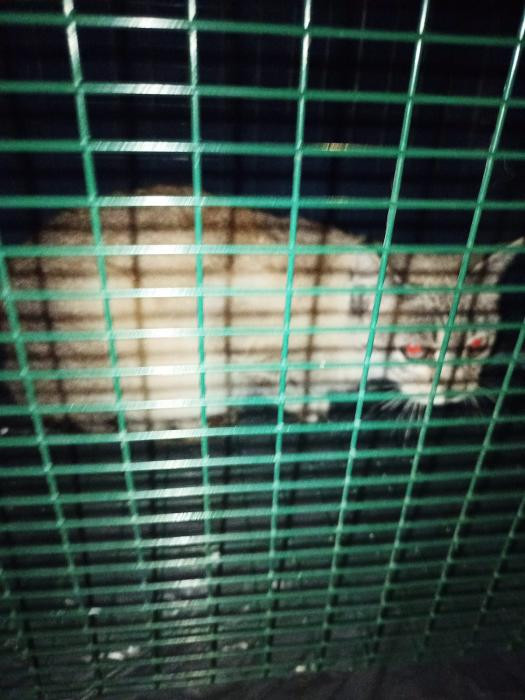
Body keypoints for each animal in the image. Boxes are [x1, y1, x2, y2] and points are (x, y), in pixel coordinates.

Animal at [1, 185, 521, 432]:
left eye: (479, 343)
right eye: (415, 351)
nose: (453, 392)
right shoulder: (234, 340)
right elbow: (278, 379)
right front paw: (305, 402)